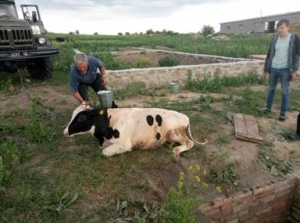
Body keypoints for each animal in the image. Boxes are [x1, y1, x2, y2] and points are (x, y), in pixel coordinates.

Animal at [63, 105, 207, 159]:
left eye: (81, 117)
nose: (65, 131)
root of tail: (185, 117)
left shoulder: (125, 144)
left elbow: (105, 152)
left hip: (174, 133)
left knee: (189, 143)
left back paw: (176, 151)